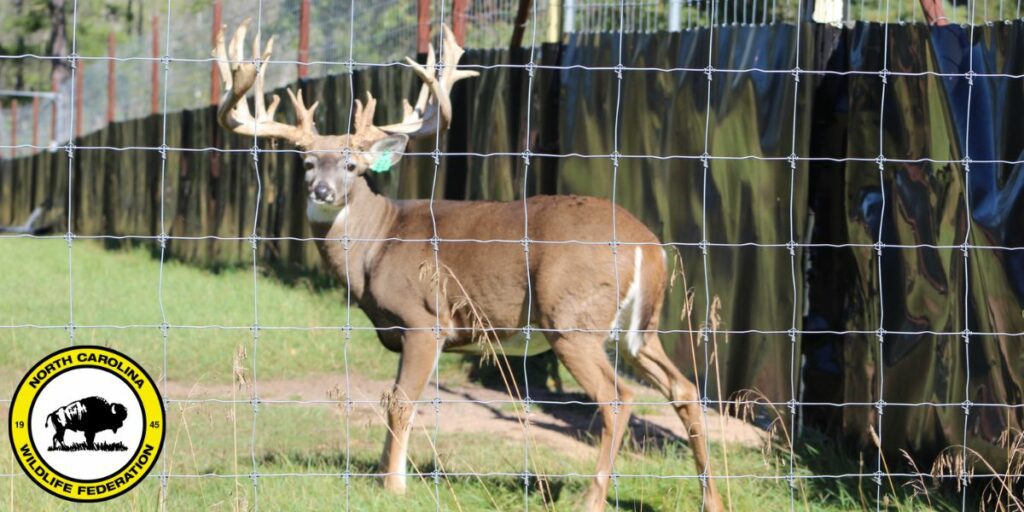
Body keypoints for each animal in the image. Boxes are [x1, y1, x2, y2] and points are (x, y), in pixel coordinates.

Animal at [213, 20, 723, 512]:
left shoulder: (425, 319)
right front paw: (380, 475)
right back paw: (710, 499)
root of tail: (648, 246)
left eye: (353, 166)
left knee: (616, 397)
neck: (376, 244)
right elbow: (390, 396)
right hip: (639, 330)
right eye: (306, 163)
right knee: (683, 389)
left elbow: (402, 401)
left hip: (570, 319)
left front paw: (393, 485)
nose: (324, 192)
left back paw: (591, 499)